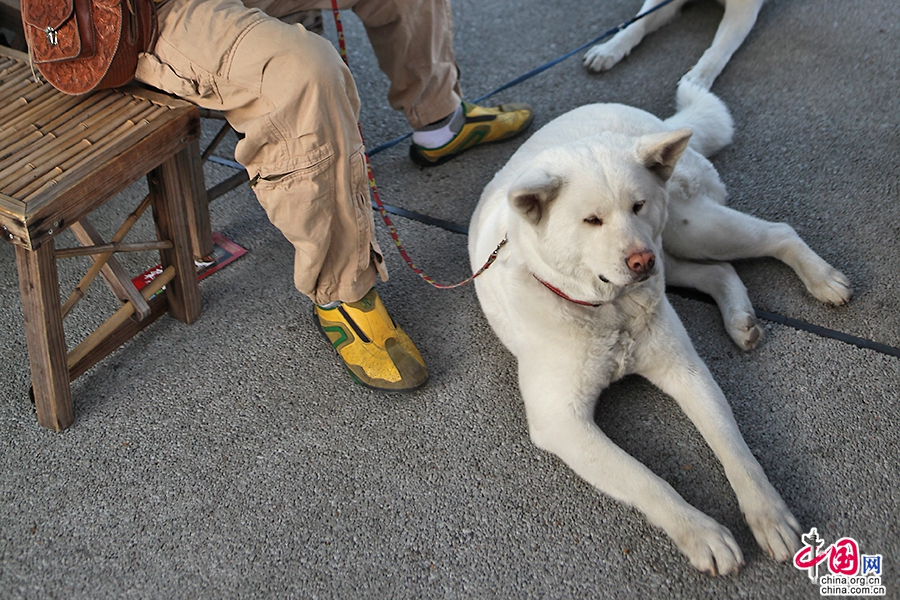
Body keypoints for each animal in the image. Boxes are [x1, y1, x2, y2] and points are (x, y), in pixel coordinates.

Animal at [468, 82, 856, 576]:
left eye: (637, 205)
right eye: (591, 220)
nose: (640, 262)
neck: (608, 310)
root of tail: (653, 123)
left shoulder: (685, 370)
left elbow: (733, 447)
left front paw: (768, 513)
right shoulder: (561, 420)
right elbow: (645, 480)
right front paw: (702, 533)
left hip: (686, 230)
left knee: (777, 234)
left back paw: (822, 280)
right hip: (675, 247)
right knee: (721, 270)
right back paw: (741, 319)